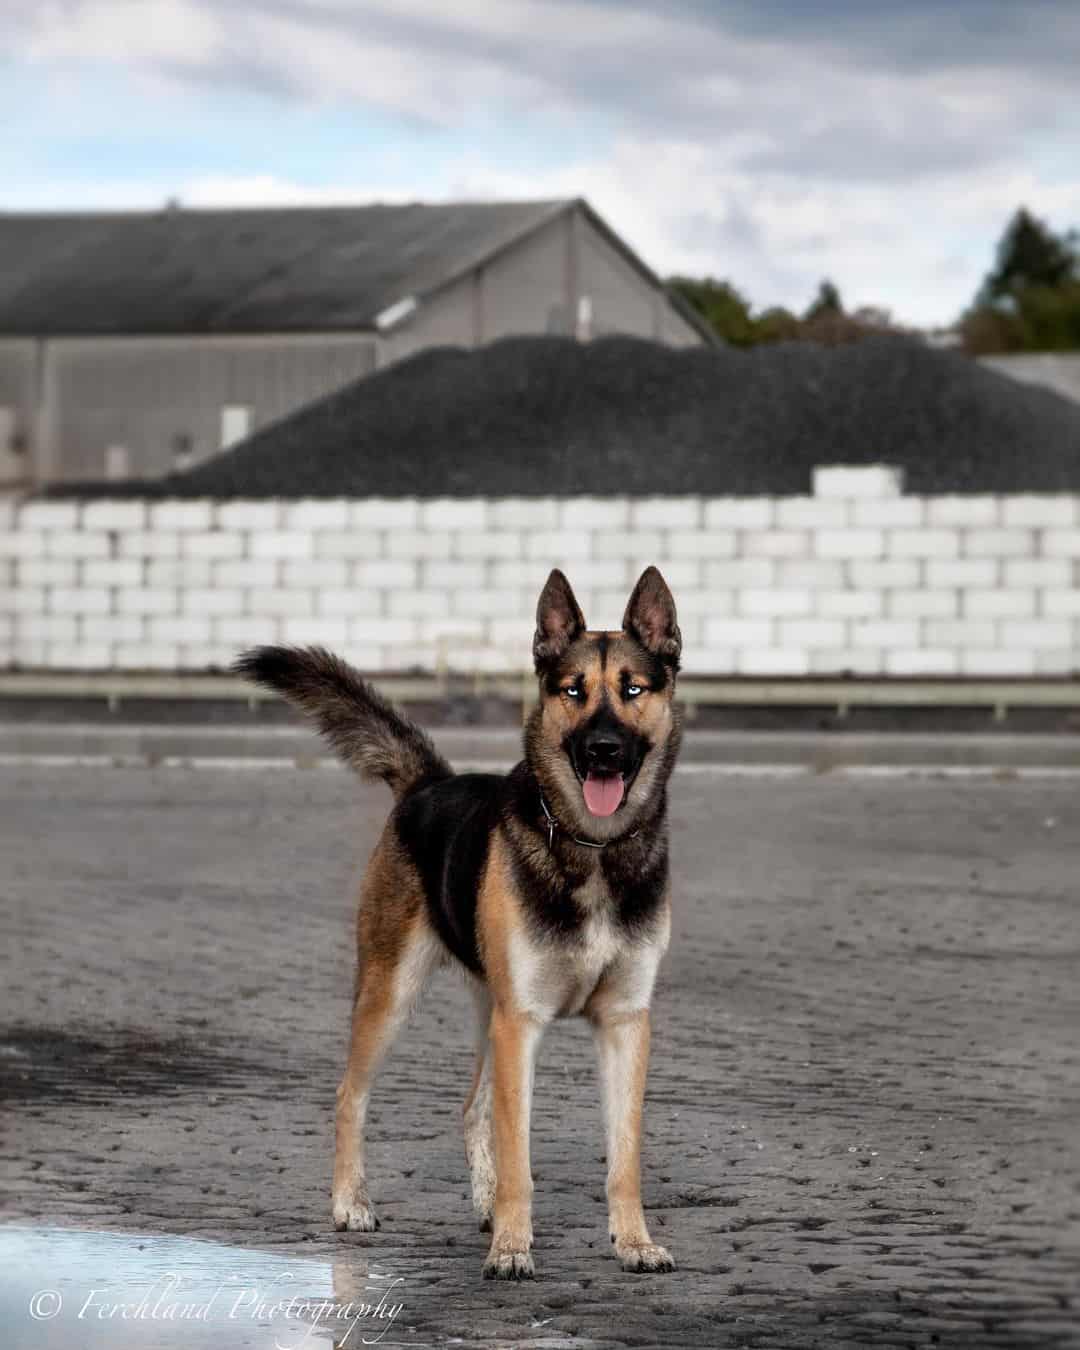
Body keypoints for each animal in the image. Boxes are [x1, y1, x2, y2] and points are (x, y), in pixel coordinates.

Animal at [240, 564, 688, 1279]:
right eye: (573, 690)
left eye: (633, 690)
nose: (603, 750)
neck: (591, 850)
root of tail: (428, 783)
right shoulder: (523, 1024)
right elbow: (520, 1156)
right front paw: (512, 1247)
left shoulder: (623, 1025)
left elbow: (623, 1159)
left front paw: (633, 1242)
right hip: (393, 996)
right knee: (349, 1096)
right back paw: (352, 1204)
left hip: (487, 1013)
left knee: (471, 1108)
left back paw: (482, 1206)